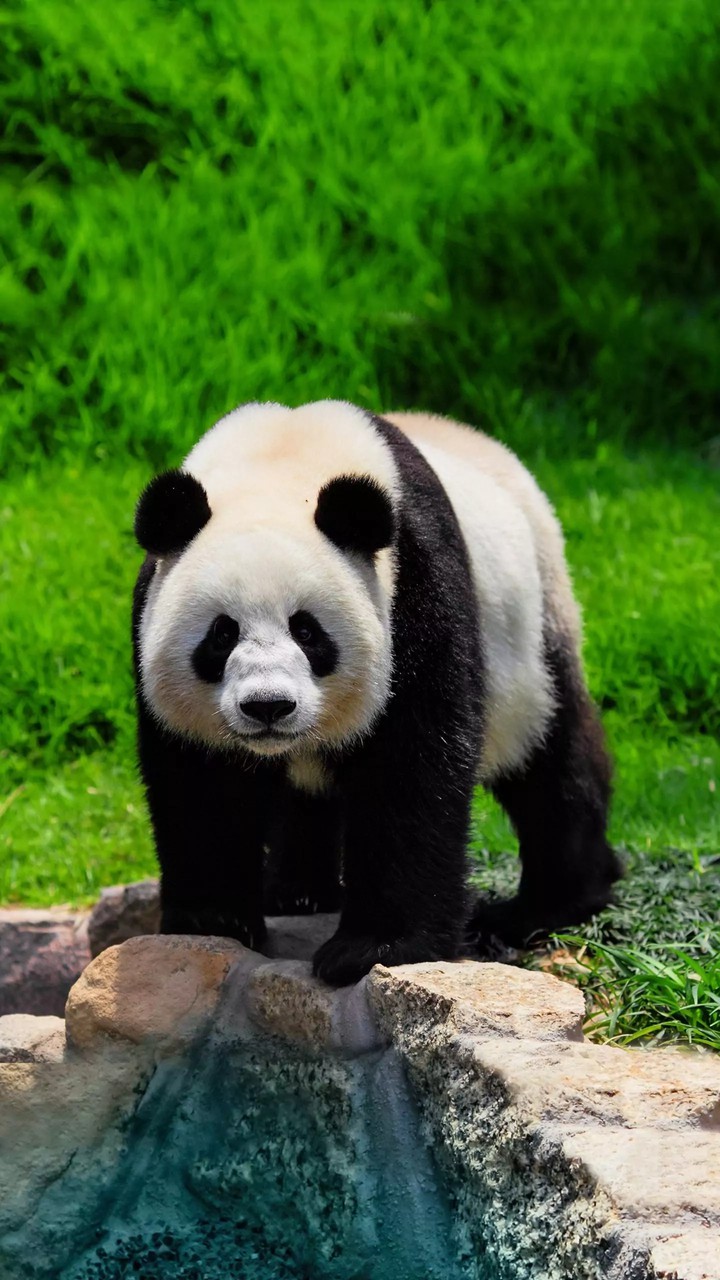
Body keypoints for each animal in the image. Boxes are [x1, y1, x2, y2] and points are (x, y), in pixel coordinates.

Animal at [132, 400, 621, 986]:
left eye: (307, 630)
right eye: (221, 634)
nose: (268, 706)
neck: (281, 460)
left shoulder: (415, 584)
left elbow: (411, 765)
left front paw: (373, 949)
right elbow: (201, 781)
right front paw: (214, 920)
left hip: (534, 627)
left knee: (552, 758)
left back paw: (548, 905)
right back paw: (297, 892)